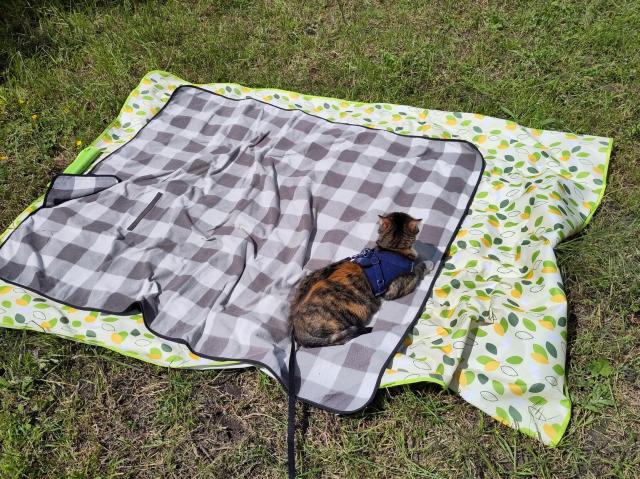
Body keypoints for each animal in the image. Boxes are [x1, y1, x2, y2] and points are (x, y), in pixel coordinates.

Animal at [292, 214, 432, 348]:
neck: (392, 249)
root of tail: (297, 328)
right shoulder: (396, 287)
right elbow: (417, 270)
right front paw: (428, 263)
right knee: (338, 339)